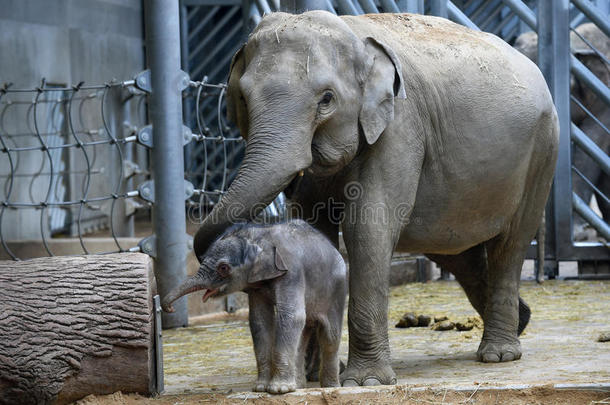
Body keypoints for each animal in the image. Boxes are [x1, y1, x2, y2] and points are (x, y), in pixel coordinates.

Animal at [160, 219, 346, 392]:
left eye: (223, 268)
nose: (169, 308)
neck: (260, 237)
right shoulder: (256, 285)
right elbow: (259, 321)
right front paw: (261, 388)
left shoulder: (292, 272)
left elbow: (291, 317)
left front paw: (278, 390)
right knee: (302, 335)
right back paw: (299, 386)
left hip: (336, 291)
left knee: (329, 337)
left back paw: (330, 387)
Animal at [194, 11, 556, 386]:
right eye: (242, 98)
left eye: (327, 99)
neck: (354, 34)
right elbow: (312, 225)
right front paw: (313, 375)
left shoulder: (400, 125)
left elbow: (367, 227)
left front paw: (364, 381)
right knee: (458, 254)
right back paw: (522, 321)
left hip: (542, 152)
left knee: (509, 245)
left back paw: (499, 354)